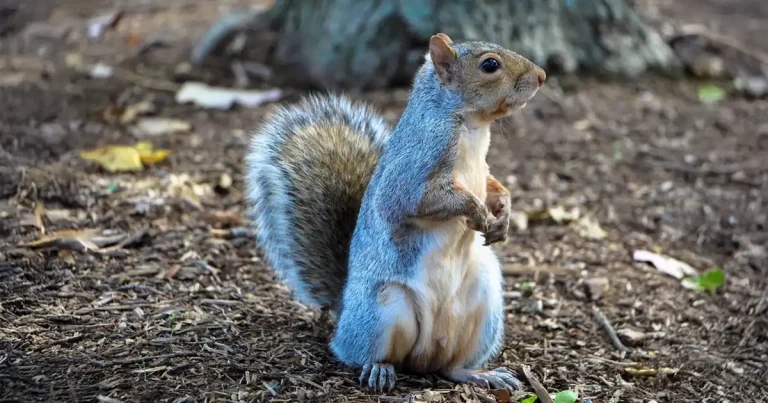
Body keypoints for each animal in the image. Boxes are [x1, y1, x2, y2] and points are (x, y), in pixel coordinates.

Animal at [245, 33, 546, 393]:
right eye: (490, 65)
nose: (542, 76)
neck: (472, 127)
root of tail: (344, 312)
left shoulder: (481, 169)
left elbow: (492, 185)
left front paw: (503, 213)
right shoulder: (414, 171)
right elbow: (422, 200)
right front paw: (479, 213)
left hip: (484, 304)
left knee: (452, 368)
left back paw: (481, 374)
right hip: (385, 310)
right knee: (370, 354)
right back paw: (380, 370)